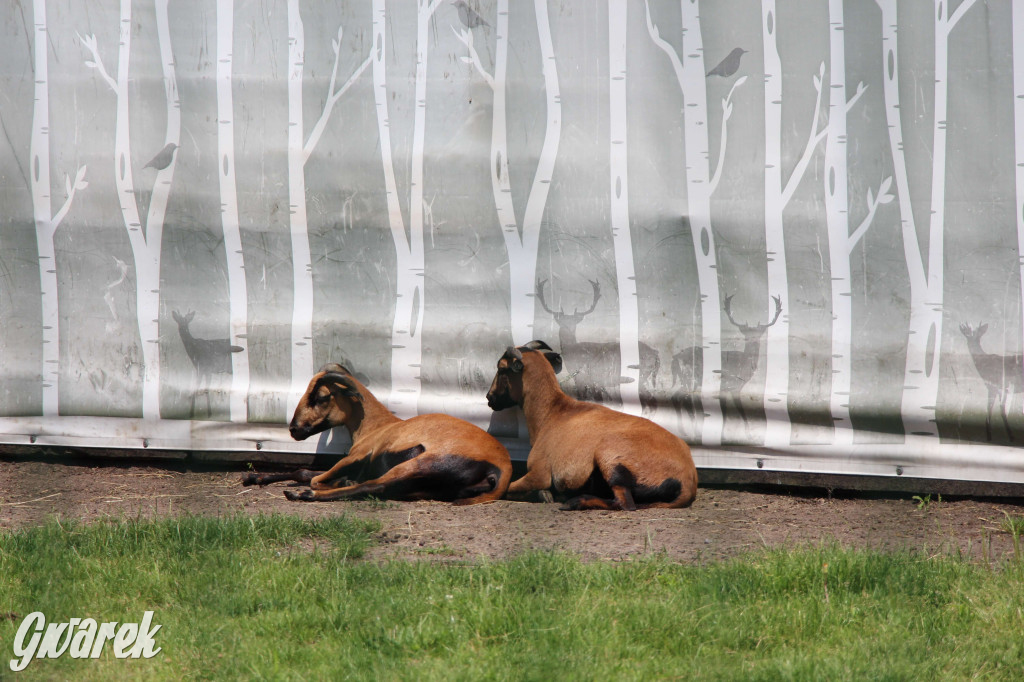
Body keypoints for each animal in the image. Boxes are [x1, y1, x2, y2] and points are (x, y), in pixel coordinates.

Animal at [239, 364, 512, 501]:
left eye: (321, 396)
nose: (294, 430)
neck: (377, 425)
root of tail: (501, 470)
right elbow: (303, 471)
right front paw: (254, 477)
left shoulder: (355, 457)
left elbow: (315, 477)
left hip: (417, 464)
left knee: (374, 486)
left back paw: (304, 494)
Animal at [485, 339, 696, 509]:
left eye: (501, 368)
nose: (489, 398)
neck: (551, 413)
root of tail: (687, 481)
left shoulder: (539, 473)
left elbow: (507, 488)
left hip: (611, 458)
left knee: (625, 503)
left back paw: (575, 502)